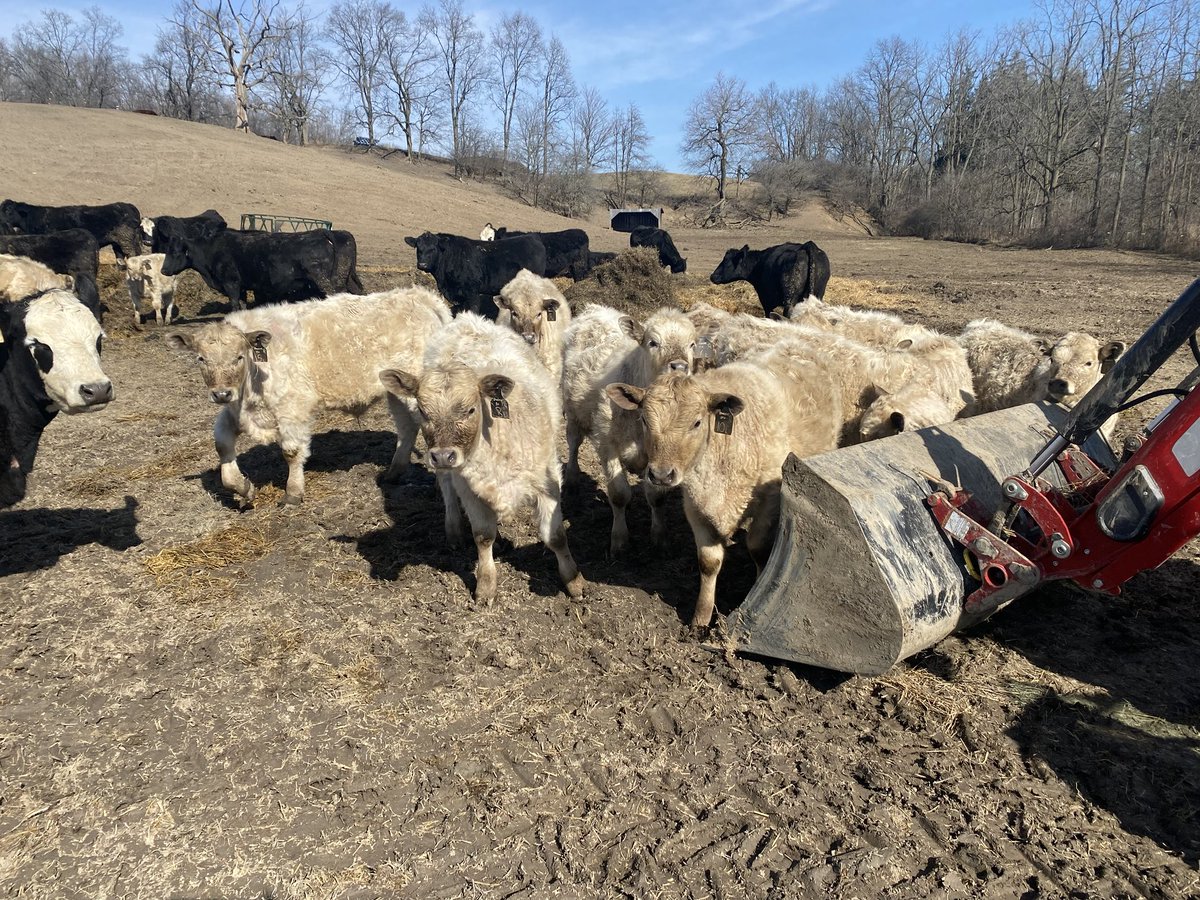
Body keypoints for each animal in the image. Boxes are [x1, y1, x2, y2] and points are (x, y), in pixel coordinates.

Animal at [162, 219, 363, 311]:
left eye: (175, 252)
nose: (163, 270)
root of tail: (323, 233)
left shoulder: (231, 283)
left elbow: (234, 304)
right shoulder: (243, 287)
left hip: (326, 282)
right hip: (347, 279)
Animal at [167, 286, 451, 507]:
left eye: (239, 356)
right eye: (201, 359)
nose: (221, 393)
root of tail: (418, 295)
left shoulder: (292, 409)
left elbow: (291, 452)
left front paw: (292, 493)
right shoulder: (234, 410)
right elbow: (222, 446)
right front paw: (243, 488)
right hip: (397, 391)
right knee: (407, 428)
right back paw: (393, 473)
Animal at [380, 312, 586, 601]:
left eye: (470, 409)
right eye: (422, 410)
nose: (442, 456)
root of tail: (467, 318)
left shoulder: (548, 480)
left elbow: (555, 536)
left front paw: (573, 581)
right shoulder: (468, 488)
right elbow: (483, 536)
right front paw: (486, 586)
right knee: (446, 486)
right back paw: (454, 529)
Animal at [405, 231, 546, 318]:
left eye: (433, 248)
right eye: (418, 247)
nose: (422, 264)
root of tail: (532, 237)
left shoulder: (472, 292)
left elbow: (472, 310)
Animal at [606, 349, 841, 628]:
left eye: (697, 423)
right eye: (643, 419)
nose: (661, 475)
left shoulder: (770, 500)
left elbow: (759, 548)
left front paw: (756, 594)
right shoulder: (694, 506)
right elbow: (708, 562)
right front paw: (700, 620)